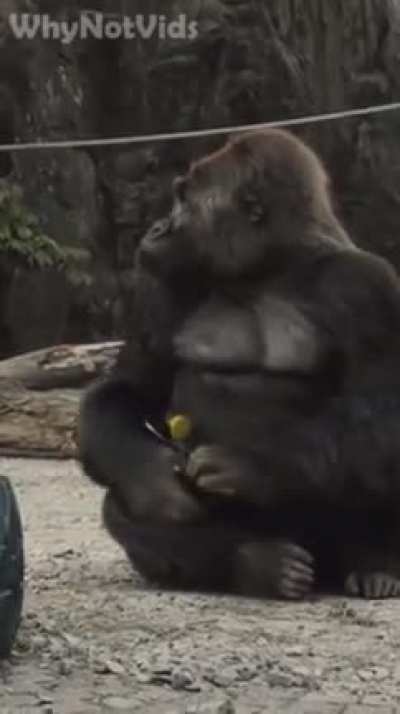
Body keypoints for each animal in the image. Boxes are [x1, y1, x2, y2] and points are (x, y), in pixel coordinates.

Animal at [79, 128, 400, 600]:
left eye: (184, 200)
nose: (157, 228)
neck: (270, 265)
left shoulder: (367, 286)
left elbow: (384, 416)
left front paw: (247, 465)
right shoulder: (167, 281)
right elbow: (129, 390)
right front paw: (155, 479)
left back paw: (377, 565)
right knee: (120, 501)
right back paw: (254, 562)